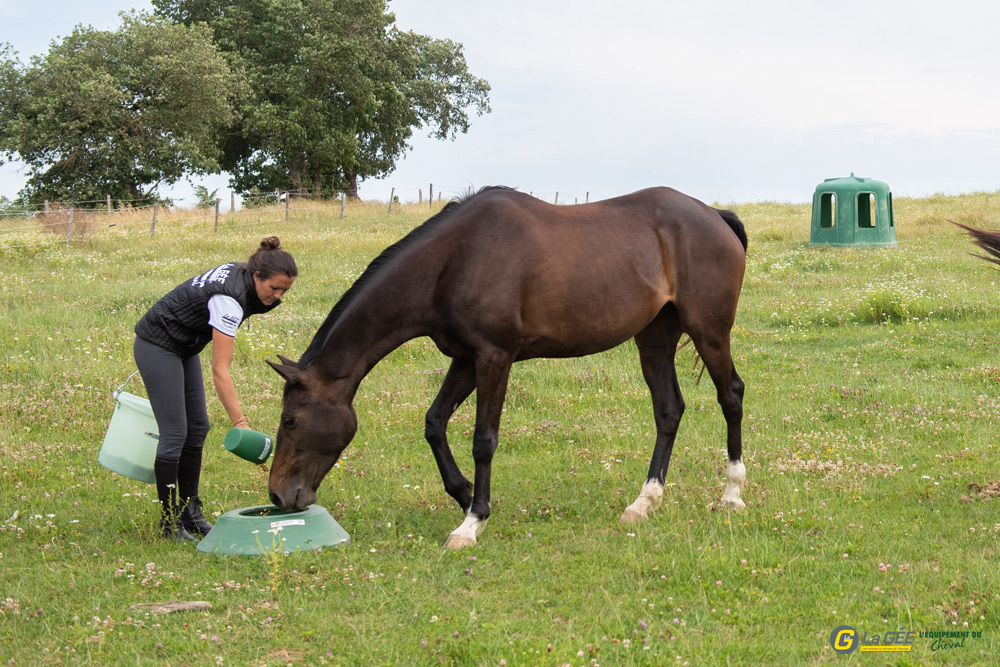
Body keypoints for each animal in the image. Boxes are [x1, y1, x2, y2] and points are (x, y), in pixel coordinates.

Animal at [270, 187, 748, 548]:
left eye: (290, 420)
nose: (277, 495)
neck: (454, 260)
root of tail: (716, 216)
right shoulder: (465, 358)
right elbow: (434, 423)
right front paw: (463, 493)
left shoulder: (494, 356)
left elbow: (484, 440)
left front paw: (472, 521)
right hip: (654, 338)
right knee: (668, 411)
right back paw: (643, 502)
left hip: (708, 332)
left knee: (731, 397)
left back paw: (732, 493)